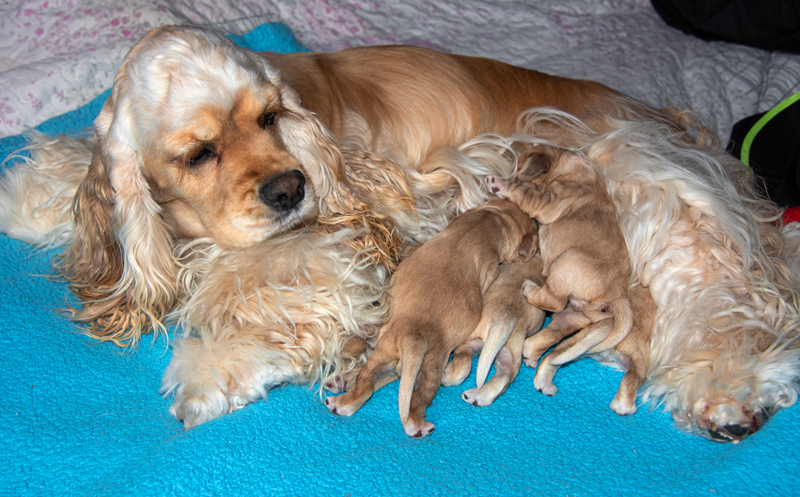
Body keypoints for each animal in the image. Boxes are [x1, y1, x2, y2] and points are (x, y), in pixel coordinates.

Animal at [322, 200, 536, 436]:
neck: (488, 220)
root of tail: (414, 337)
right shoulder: (490, 267)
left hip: (385, 357)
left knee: (366, 384)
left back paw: (340, 403)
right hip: (431, 369)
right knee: (418, 398)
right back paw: (418, 425)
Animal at [484, 143, 636, 356]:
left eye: (517, 173)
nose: (509, 179)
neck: (566, 165)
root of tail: (620, 295)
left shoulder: (547, 201)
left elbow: (523, 192)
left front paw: (499, 184)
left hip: (566, 263)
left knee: (555, 301)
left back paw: (529, 289)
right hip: (581, 312)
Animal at [524, 282, 656, 414]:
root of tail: (612, 323)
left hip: (579, 341)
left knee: (549, 354)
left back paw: (544, 383)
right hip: (640, 363)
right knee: (627, 391)